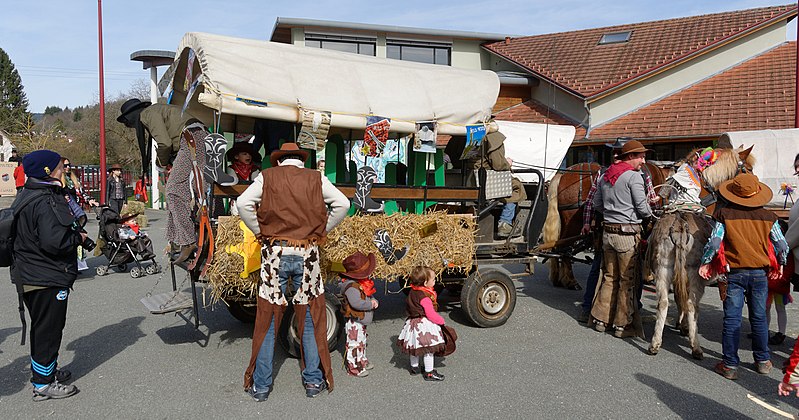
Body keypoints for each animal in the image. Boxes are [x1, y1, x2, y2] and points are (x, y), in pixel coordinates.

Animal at [544, 162, 676, 290]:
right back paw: (571, 281)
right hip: (573, 224)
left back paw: (557, 277)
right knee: (565, 248)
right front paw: (648, 276)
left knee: (557, 246)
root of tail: (563, 174)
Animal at [648, 145, 752, 360]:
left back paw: (655, 344)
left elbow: (677, 297)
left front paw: (680, 325)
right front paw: (685, 328)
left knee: (663, 302)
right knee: (691, 304)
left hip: (663, 269)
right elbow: (685, 302)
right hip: (694, 275)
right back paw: (695, 347)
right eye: (747, 169)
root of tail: (679, 226)